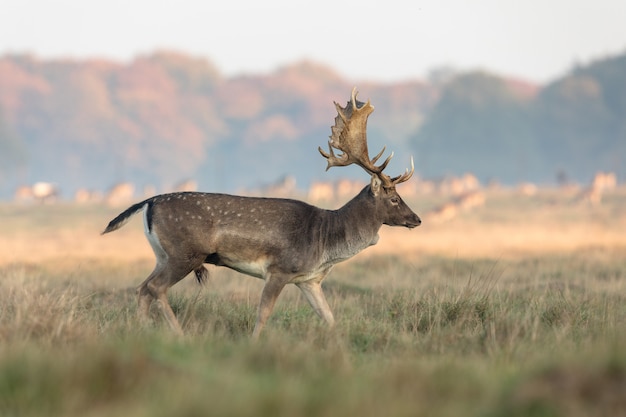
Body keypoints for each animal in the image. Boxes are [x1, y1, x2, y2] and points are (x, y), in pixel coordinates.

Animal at [102, 88, 422, 338]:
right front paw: (253, 344)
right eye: (394, 198)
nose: (416, 219)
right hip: (186, 252)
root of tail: (149, 202)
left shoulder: (309, 280)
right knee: (155, 288)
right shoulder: (280, 269)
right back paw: (178, 334)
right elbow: (263, 313)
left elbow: (329, 318)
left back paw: (142, 330)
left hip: (163, 254)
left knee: (142, 288)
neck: (326, 240)